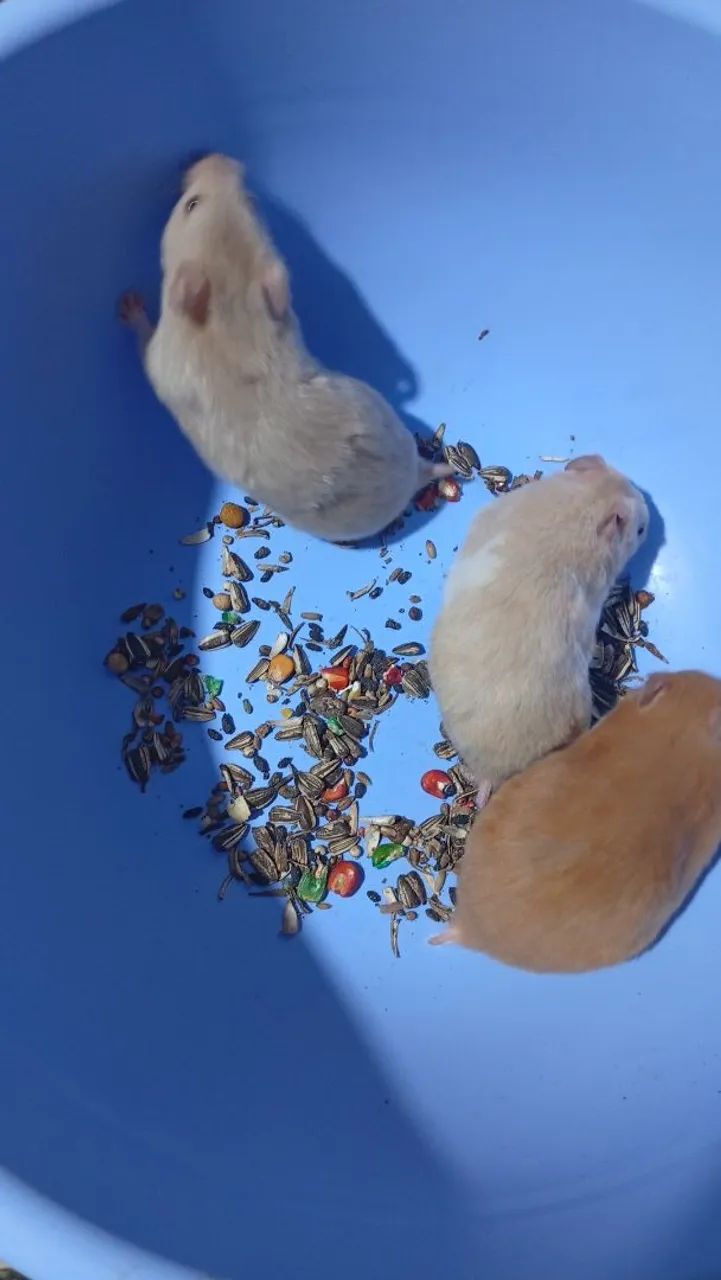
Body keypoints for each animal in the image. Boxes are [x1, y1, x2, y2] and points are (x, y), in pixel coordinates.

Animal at [119, 153, 448, 542]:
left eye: (191, 205)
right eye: (251, 202)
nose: (221, 158)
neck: (234, 316)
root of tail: (416, 474)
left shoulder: (163, 356)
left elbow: (144, 347)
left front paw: (130, 305)